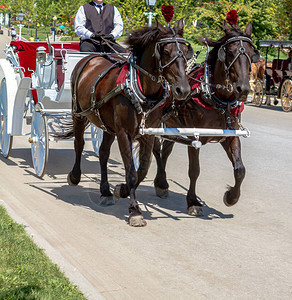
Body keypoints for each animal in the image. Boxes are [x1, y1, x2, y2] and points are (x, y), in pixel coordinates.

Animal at [64, 19, 190, 226]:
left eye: (187, 51)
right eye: (165, 51)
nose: (183, 89)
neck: (141, 88)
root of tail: (92, 57)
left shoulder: (147, 134)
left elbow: (143, 169)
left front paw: (120, 190)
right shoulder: (124, 133)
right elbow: (131, 172)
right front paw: (135, 211)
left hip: (108, 127)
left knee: (103, 153)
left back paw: (105, 191)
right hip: (79, 114)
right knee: (79, 143)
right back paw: (74, 176)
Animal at [152, 21, 258, 216]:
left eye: (250, 53)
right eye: (229, 52)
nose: (244, 89)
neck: (216, 98)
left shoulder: (230, 135)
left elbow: (240, 169)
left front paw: (231, 197)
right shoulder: (196, 137)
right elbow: (194, 170)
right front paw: (193, 201)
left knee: (165, 152)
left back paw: (160, 183)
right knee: (156, 149)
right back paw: (162, 182)